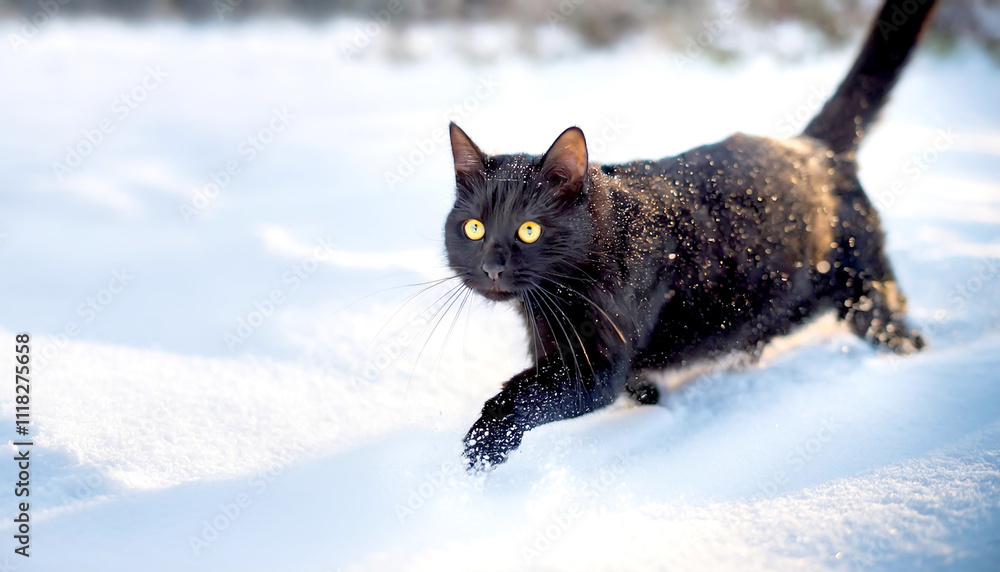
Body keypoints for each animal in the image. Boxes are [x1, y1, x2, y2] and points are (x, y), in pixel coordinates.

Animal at [450, 0, 932, 470]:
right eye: (474, 228)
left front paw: (479, 452)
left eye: (529, 229)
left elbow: (524, 397)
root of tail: (811, 149)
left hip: (863, 295)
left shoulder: (595, 368)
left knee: (897, 326)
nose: (491, 266)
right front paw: (652, 404)